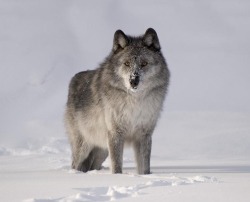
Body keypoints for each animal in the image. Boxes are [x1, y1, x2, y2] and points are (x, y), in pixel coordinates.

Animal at [64, 27, 170, 174]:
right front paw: (118, 177)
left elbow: (144, 167)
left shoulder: (144, 135)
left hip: (102, 151)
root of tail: (73, 79)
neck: (135, 102)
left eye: (144, 64)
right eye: (126, 63)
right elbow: (117, 165)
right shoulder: (116, 133)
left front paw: (145, 176)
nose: (133, 81)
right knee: (75, 164)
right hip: (84, 146)